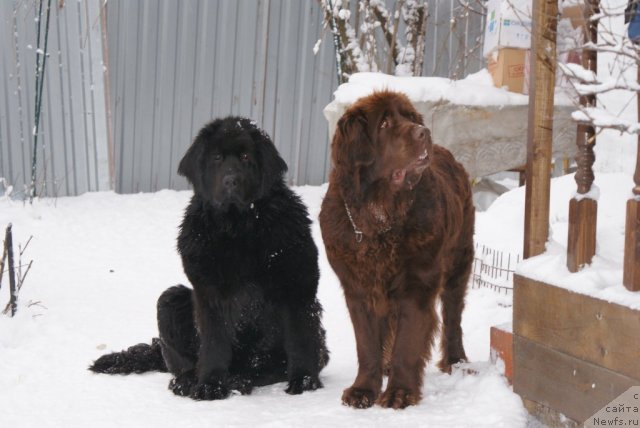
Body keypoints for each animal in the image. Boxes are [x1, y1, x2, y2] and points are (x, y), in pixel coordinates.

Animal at [89, 115, 330, 400]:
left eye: (246, 156)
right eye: (217, 158)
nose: (231, 181)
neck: (239, 227)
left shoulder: (296, 284)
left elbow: (300, 338)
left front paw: (304, 381)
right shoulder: (210, 293)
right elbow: (215, 343)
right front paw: (210, 385)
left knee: (270, 367)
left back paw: (241, 379)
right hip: (170, 300)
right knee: (183, 362)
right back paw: (189, 381)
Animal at [320, 90, 476, 408]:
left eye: (410, 118)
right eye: (384, 123)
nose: (424, 132)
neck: (379, 218)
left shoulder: (417, 284)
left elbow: (408, 342)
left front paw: (400, 392)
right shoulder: (359, 289)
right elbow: (367, 345)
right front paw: (363, 389)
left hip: (459, 261)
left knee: (453, 315)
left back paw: (456, 360)